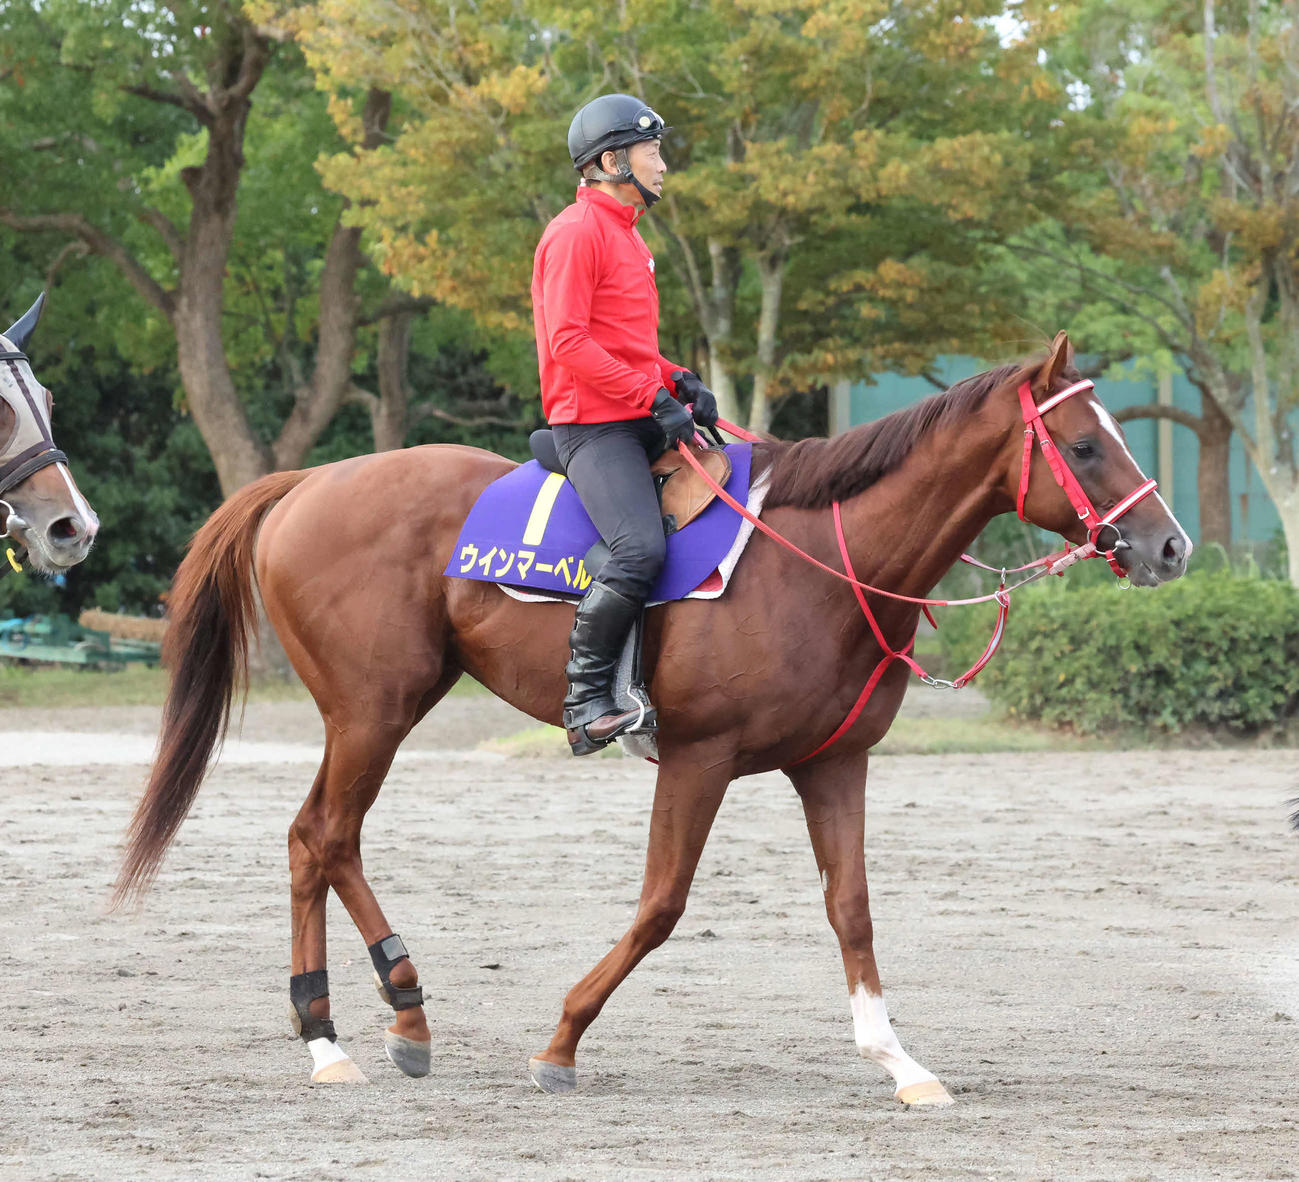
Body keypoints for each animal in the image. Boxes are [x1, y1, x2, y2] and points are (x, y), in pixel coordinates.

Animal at [114, 331, 1189, 1103]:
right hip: (374, 711)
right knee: (324, 836)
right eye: (1084, 445)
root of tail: (311, 481)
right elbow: (661, 906)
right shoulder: (698, 760)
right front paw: (559, 1043)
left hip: (372, 712)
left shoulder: (834, 764)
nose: (1169, 546)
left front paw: (898, 1061)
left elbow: (850, 908)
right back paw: (351, 1029)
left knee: (316, 841)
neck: (820, 560)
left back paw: (373, 1019)